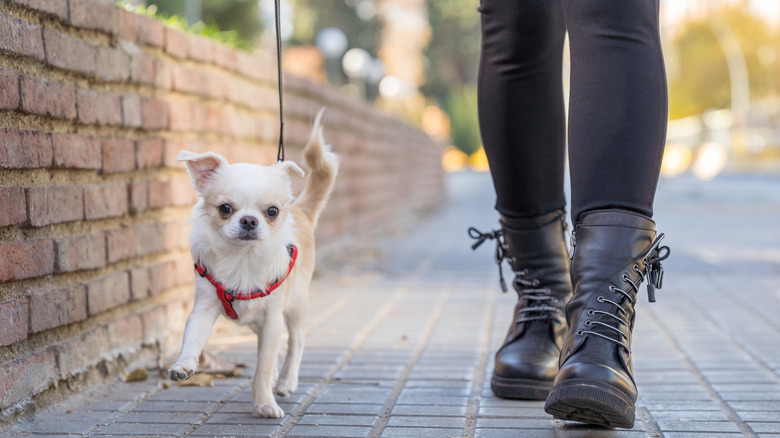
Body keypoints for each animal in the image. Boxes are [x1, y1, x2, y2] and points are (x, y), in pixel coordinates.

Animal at [168, 109, 338, 418]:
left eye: (272, 211)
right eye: (225, 208)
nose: (248, 220)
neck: (242, 258)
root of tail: (300, 209)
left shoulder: (272, 319)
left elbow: (263, 366)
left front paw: (264, 403)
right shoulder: (204, 309)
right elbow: (192, 339)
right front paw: (183, 365)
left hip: (295, 306)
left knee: (296, 342)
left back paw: (285, 381)